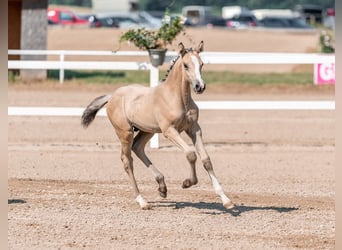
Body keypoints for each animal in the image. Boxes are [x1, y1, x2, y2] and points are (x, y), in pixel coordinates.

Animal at [81, 41, 234, 209]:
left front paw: (226, 200)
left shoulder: (194, 128)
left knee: (137, 147)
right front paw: (187, 182)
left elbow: (206, 159)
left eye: (201, 64)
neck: (177, 98)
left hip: (147, 130)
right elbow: (191, 154)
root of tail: (112, 96)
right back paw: (142, 201)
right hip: (125, 132)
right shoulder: (169, 131)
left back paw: (162, 187)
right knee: (127, 161)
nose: (199, 86)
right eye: (186, 65)